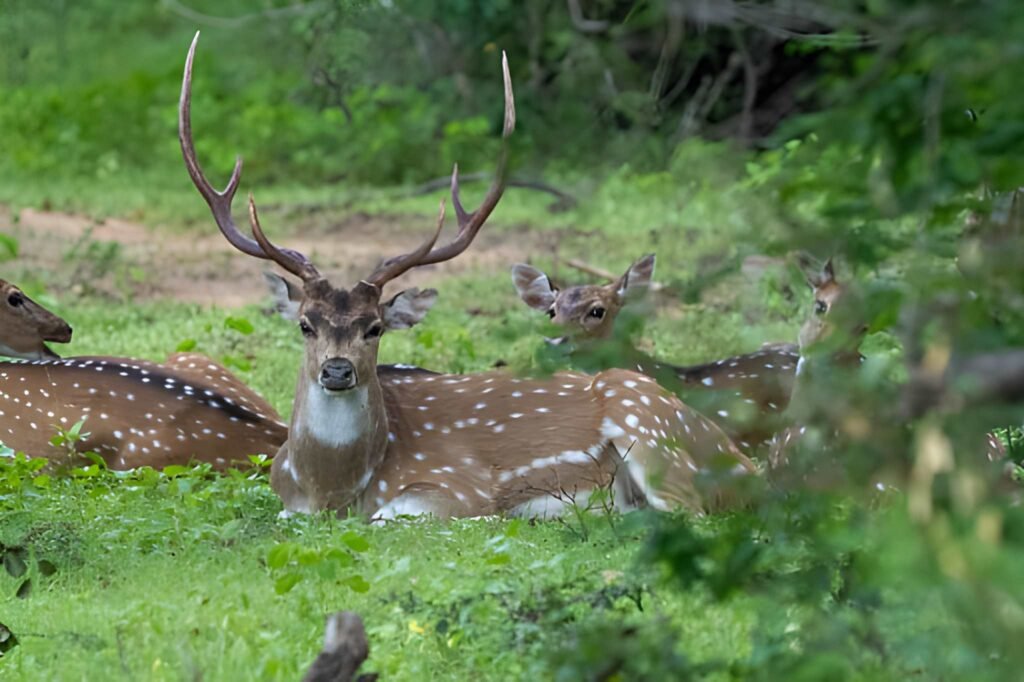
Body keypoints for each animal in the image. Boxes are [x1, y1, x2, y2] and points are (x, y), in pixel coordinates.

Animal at [180, 32, 757, 520]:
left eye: (375, 327)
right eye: (306, 323)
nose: (337, 371)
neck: (333, 490)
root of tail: (746, 465)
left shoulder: (456, 487)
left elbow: (401, 517)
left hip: (651, 428)